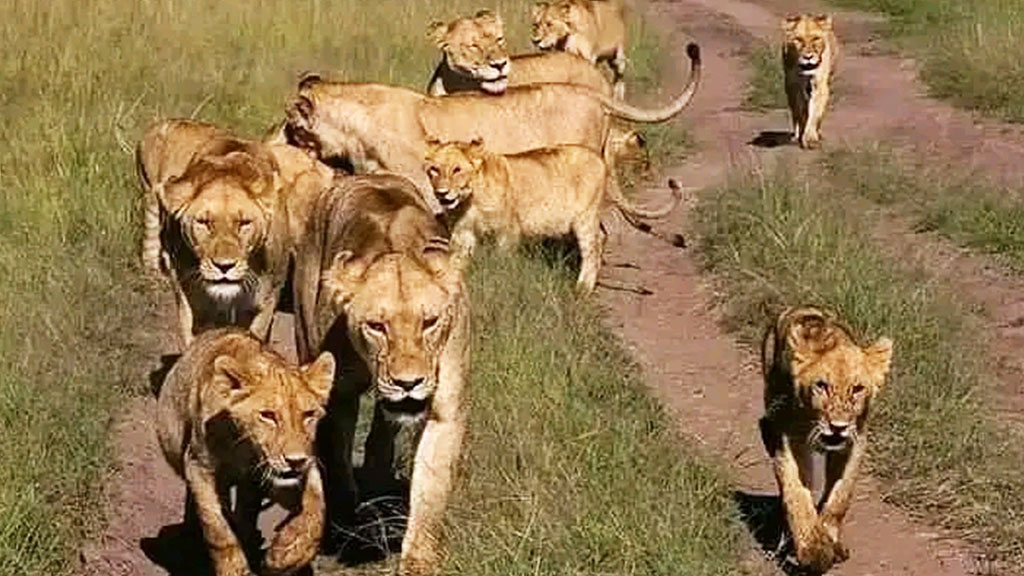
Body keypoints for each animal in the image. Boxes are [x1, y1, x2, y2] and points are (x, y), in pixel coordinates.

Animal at [757, 305, 892, 569]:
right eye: (821, 386)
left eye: (857, 389)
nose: (837, 427)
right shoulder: (787, 437)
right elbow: (797, 493)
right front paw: (814, 551)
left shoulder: (855, 442)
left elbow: (840, 495)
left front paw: (829, 537)